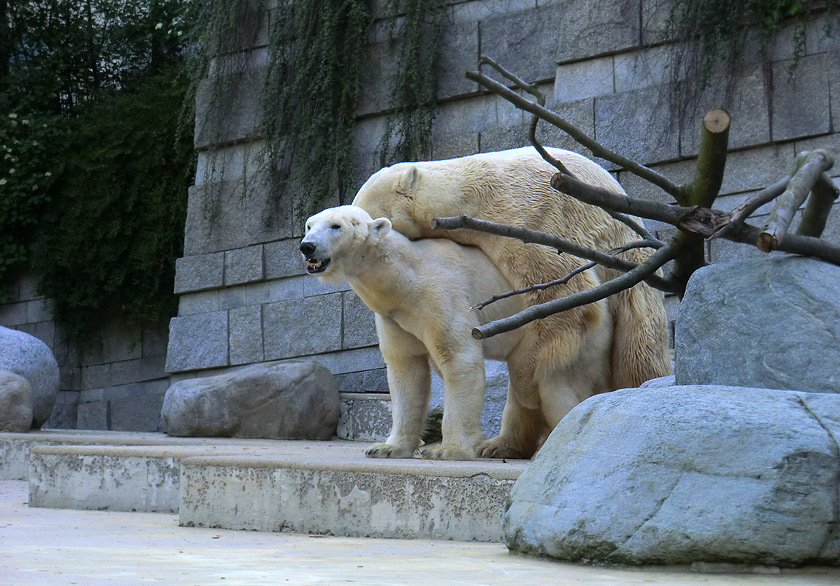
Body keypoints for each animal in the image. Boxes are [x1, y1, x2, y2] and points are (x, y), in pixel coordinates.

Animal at [302, 204, 612, 456]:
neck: (404, 280)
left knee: (552, 384)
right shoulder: (394, 318)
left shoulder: (442, 296)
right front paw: (387, 447)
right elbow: (406, 369)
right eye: (309, 224)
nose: (307, 246)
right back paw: (500, 446)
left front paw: (446, 449)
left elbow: (458, 360)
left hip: (557, 327)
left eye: (336, 225)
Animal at [352, 146, 672, 456]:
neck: (470, 196)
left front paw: (526, 382)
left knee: (637, 353)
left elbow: (560, 295)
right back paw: (499, 444)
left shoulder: (530, 219)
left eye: (365, 218)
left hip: (630, 271)